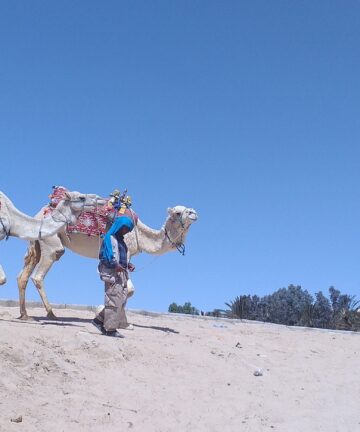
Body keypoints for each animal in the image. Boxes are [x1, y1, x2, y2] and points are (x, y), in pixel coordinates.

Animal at [16, 204, 198, 318]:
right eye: (177, 212)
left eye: (188, 209)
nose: (194, 213)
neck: (139, 234)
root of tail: (38, 214)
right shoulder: (124, 252)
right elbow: (129, 289)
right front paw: (101, 312)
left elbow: (126, 289)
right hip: (51, 242)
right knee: (39, 274)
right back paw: (51, 313)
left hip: (36, 243)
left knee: (22, 276)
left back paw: (25, 314)